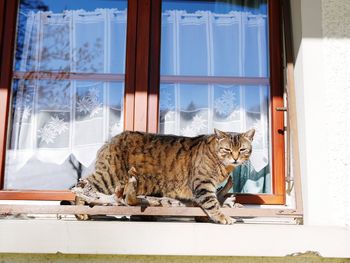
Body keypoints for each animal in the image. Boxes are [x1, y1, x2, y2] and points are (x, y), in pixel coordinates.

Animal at [74, 128, 254, 225]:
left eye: (242, 150)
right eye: (228, 150)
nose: (235, 158)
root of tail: (109, 141)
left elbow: (201, 205)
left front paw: (202, 217)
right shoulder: (202, 183)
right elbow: (211, 203)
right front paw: (223, 217)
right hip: (109, 176)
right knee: (80, 186)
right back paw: (80, 211)